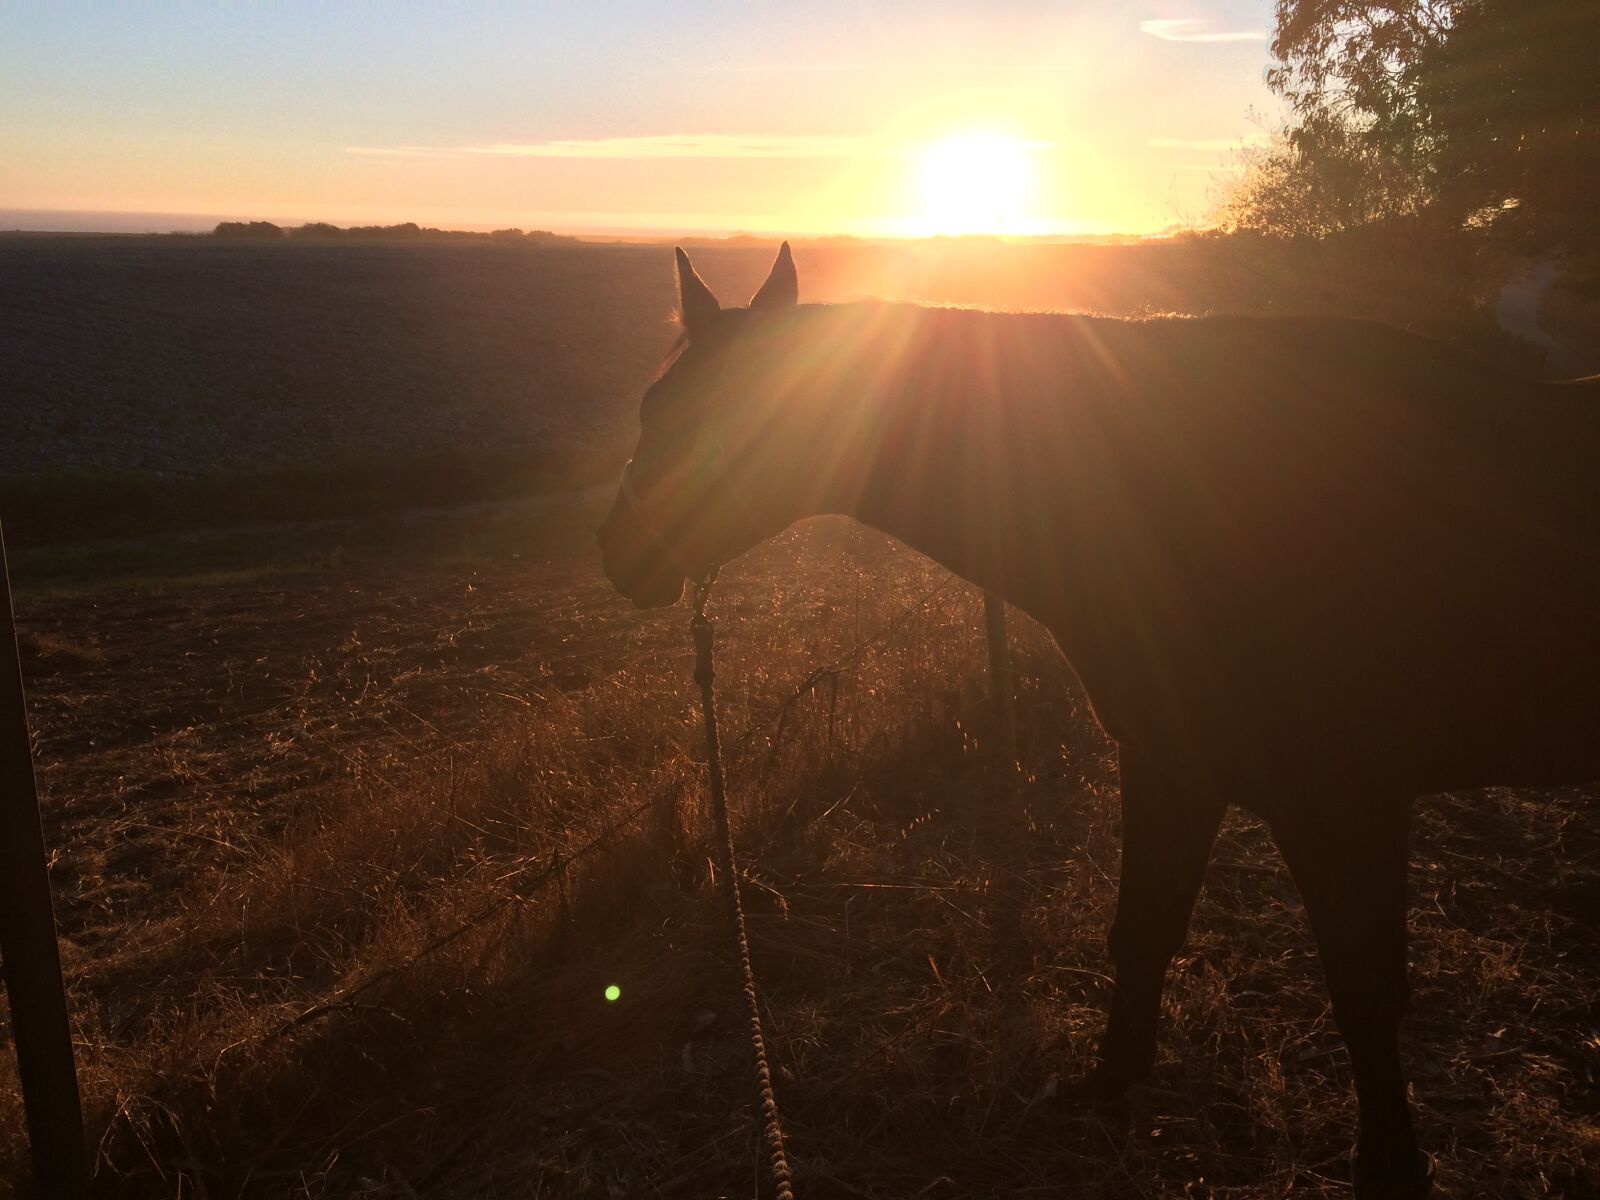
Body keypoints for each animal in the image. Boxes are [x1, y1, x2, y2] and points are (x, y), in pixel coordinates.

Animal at [596, 243, 1600, 1199]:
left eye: (721, 415)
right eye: (648, 407)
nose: (619, 553)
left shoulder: (1347, 805)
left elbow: (1364, 990)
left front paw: (1390, 1167)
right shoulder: (1172, 765)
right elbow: (1144, 928)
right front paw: (1108, 1085)